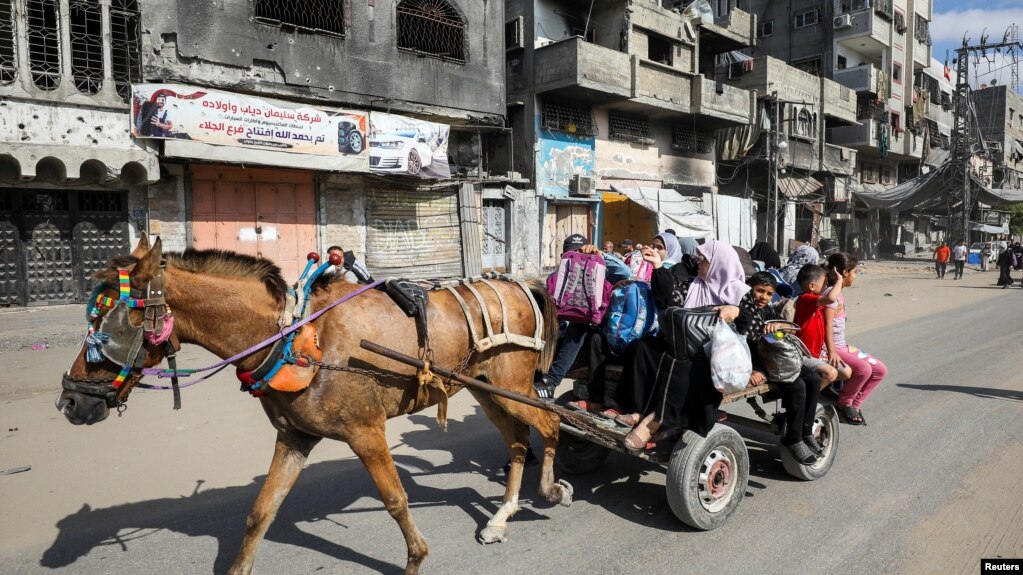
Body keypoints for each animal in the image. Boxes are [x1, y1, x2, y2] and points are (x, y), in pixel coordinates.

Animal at [56, 234, 572, 572]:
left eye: (106, 328)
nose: (70, 402)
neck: (290, 335)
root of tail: (520, 282)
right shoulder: (295, 437)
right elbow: (259, 514)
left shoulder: (367, 432)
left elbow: (395, 499)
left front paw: (416, 557)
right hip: (486, 388)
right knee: (517, 443)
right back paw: (501, 518)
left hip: (513, 384)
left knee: (549, 423)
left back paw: (550, 489)